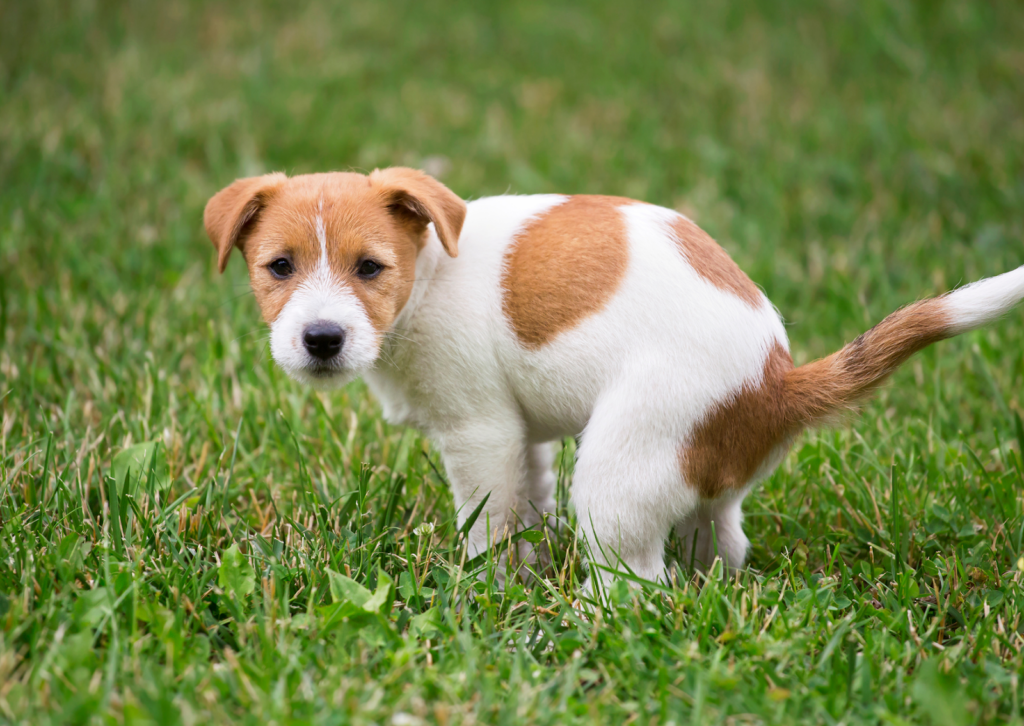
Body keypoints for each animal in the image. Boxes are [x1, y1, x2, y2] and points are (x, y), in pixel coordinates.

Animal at [203, 169, 1019, 589]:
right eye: (279, 267)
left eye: (370, 268)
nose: (322, 339)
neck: (430, 272)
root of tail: (776, 382)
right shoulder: (520, 437)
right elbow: (527, 506)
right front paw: (526, 571)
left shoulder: (479, 433)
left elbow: (488, 523)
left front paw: (489, 590)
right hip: (697, 480)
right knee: (719, 544)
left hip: (617, 474)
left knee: (637, 584)